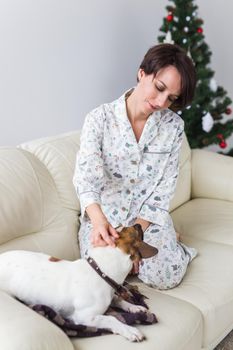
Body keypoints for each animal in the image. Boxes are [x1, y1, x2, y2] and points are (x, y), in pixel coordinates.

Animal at [0, 224, 158, 342]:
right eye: (133, 229)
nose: (139, 224)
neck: (100, 270)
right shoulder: (85, 317)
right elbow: (111, 319)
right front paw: (129, 330)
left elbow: (118, 300)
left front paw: (135, 307)